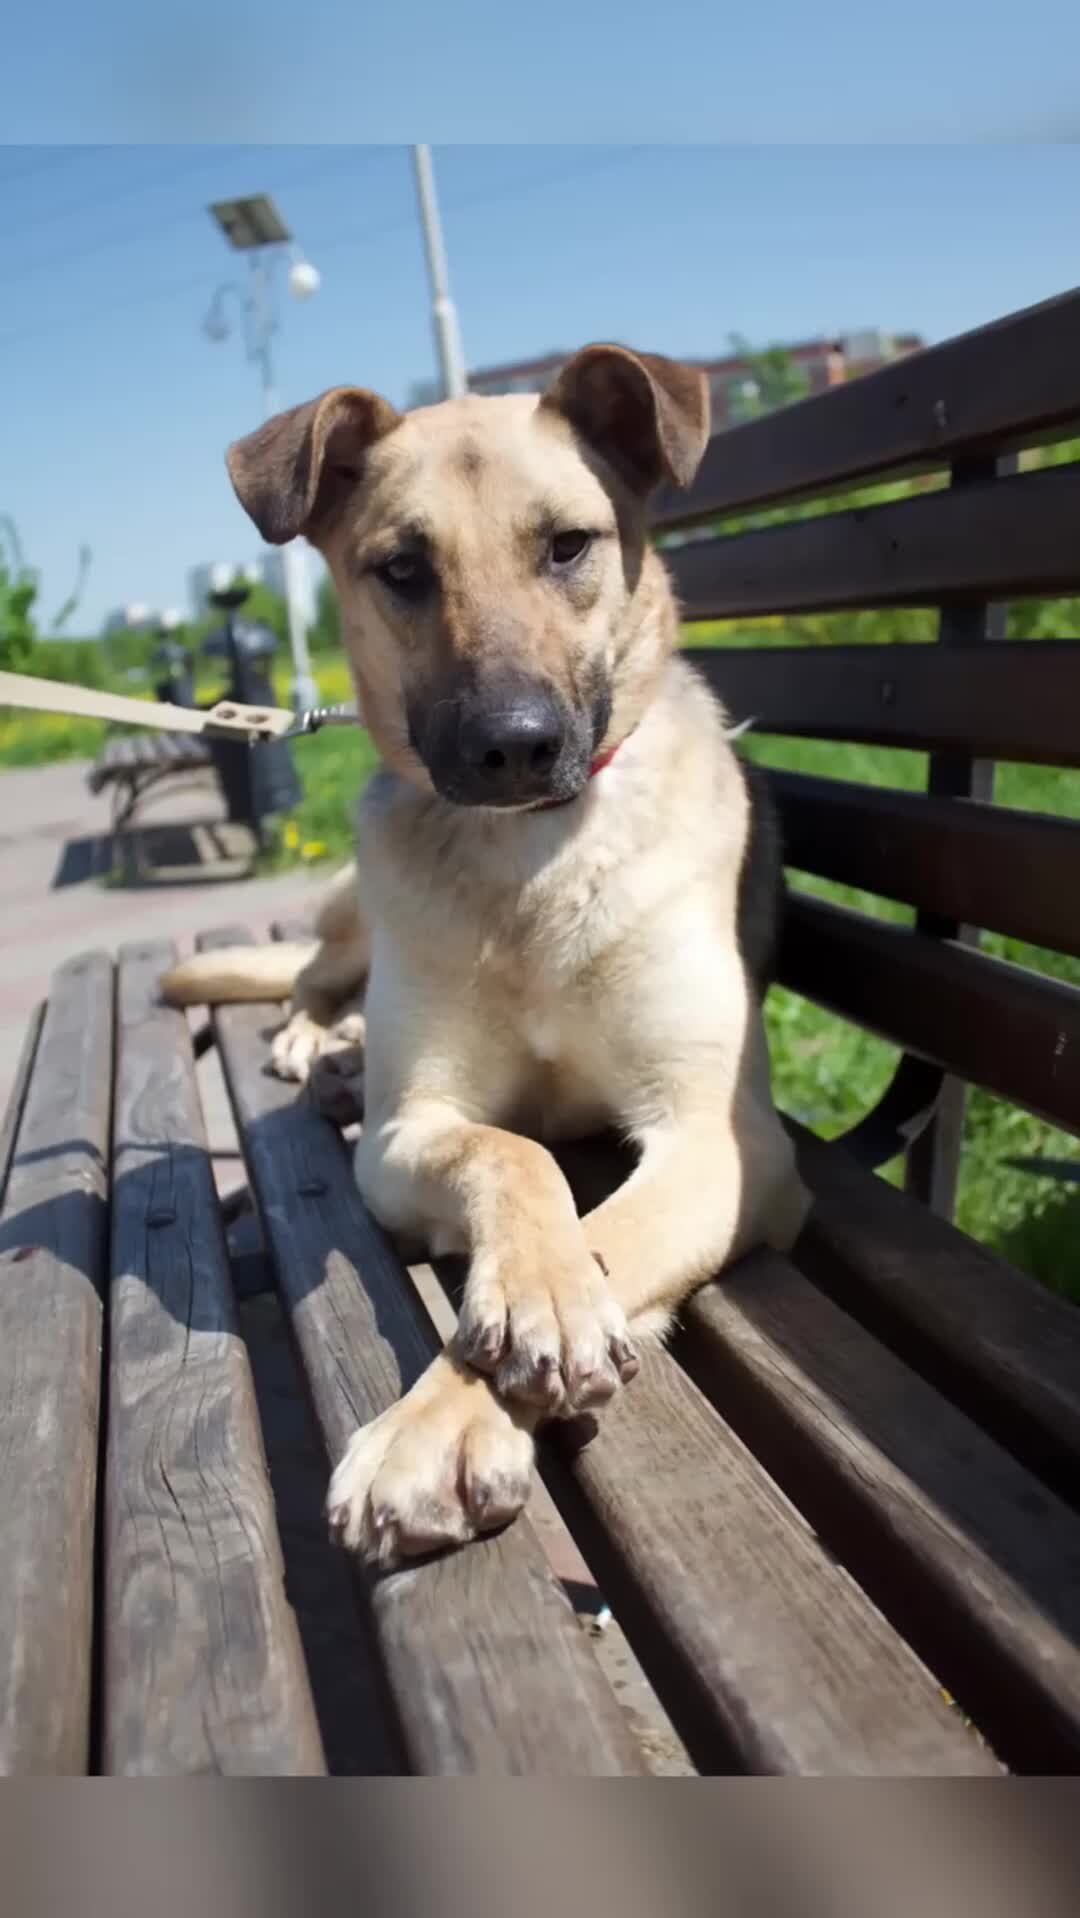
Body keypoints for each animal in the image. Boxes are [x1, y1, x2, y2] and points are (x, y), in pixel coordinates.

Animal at [164, 349, 813, 1572]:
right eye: (403, 569)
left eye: (567, 546)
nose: (512, 745)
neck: (532, 863)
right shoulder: (410, 1131)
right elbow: (515, 1155)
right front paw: (533, 1309)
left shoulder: (718, 1142)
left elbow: (604, 1233)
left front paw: (465, 1401)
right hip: (354, 912)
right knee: (319, 980)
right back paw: (318, 1045)